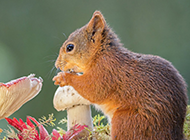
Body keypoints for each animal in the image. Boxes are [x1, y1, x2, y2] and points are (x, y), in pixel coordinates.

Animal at [52, 10, 188, 140]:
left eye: (70, 47)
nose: (57, 64)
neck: (100, 55)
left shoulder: (106, 72)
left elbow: (94, 90)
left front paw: (63, 77)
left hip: (126, 121)